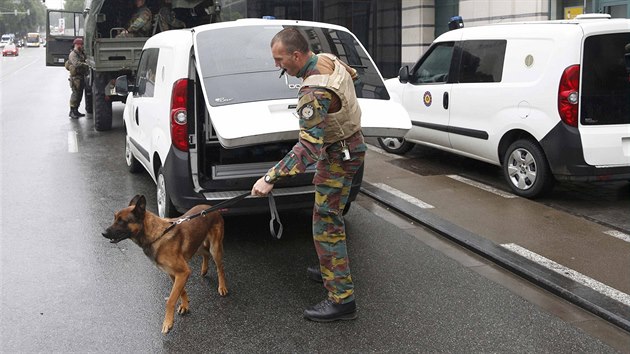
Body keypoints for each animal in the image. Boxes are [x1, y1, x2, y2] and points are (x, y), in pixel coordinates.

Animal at [100, 195, 226, 334]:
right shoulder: (173, 273)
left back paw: (222, 287)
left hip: (215, 248)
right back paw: (204, 269)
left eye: (122, 221)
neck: (157, 235)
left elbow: (170, 300)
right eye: (115, 218)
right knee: (205, 254)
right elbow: (181, 291)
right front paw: (185, 305)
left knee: (220, 267)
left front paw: (168, 323)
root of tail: (211, 208)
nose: (103, 233)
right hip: (197, 245)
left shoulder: (183, 272)